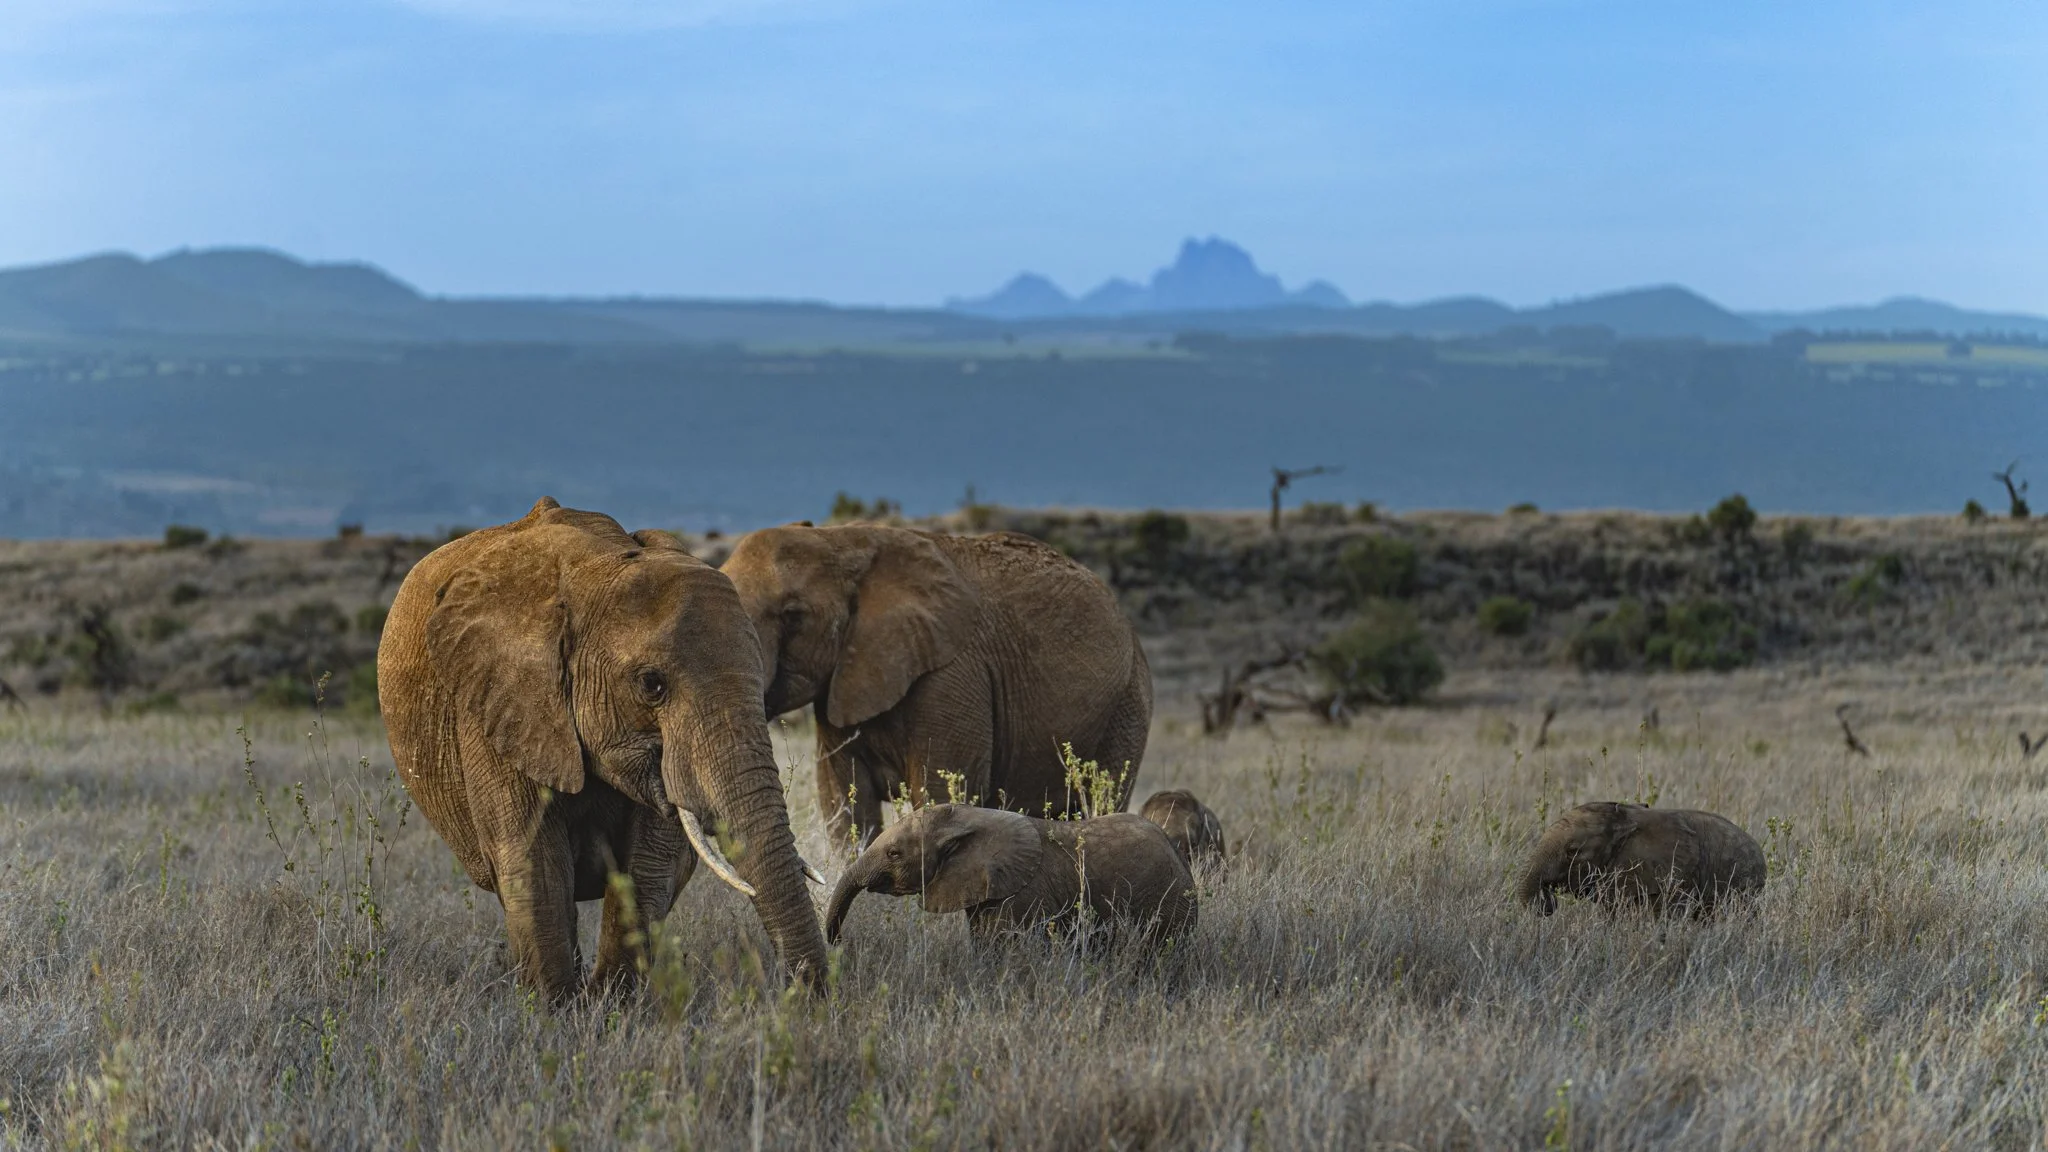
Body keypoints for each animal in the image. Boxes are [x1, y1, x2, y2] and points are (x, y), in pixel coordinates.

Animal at [378, 497, 828, 999]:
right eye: (651, 684)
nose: (802, 996)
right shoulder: (496, 703)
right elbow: (535, 863)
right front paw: (557, 1009)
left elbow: (649, 863)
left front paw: (611, 1004)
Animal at [721, 523, 1152, 848]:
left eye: (793, 615)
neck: (842, 541)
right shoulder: (841, 682)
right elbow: (844, 803)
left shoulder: (954, 673)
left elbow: (939, 794)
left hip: (1128, 704)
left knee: (1104, 797)